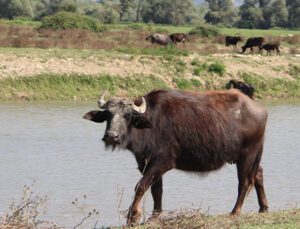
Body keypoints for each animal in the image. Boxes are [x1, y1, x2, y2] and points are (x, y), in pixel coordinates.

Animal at [84, 89, 270, 225]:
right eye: (108, 114)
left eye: (127, 115)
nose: (111, 135)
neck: (150, 124)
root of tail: (261, 109)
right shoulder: (147, 163)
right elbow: (156, 190)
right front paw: (154, 216)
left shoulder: (162, 163)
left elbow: (141, 186)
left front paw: (133, 216)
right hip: (252, 156)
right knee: (258, 174)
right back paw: (264, 207)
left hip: (247, 155)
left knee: (244, 182)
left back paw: (235, 211)